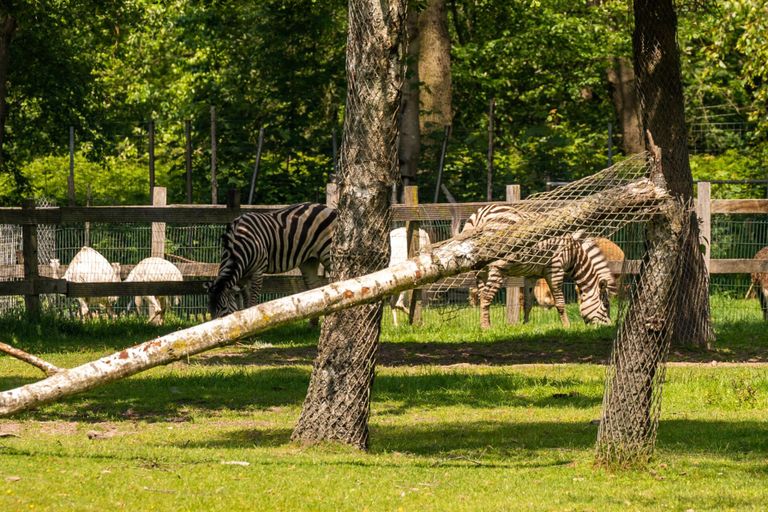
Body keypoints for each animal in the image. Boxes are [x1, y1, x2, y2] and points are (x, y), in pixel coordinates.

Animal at [207, 202, 336, 318]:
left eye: (223, 308)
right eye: (210, 310)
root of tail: (328, 208)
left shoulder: (258, 271)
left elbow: (252, 303)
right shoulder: (242, 277)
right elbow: (243, 303)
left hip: (327, 252)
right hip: (309, 261)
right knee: (314, 288)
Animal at [460, 203, 616, 328]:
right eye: (606, 305)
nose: (609, 326)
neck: (573, 255)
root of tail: (481, 216)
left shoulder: (531, 275)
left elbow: (528, 302)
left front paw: (525, 325)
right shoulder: (555, 269)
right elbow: (560, 302)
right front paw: (567, 326)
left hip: (480, 270)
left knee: (481, 294)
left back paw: (486, 323)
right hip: (497, 267)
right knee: (486, 295)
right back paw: (486, 327)